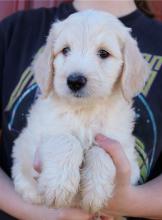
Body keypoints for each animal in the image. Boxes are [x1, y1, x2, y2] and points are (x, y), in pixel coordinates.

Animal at [11, 9, 148, 217]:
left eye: (103, 53)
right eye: (65, 50)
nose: (75, 81)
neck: (85, 111)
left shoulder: (126, 153)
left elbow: (102, 150)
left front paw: (96, 191)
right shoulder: (33, 139)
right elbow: (66, 139)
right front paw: (58, 186)